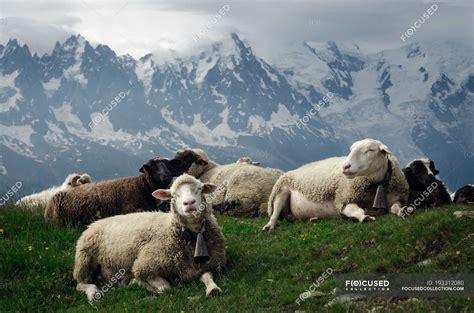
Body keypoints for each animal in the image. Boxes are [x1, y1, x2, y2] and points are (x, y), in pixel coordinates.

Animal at [73, 173, 225, 300]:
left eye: (199, 189)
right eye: (174, 194)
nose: (189, 203)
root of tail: (94, 223)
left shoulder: (205, 265)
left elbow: (207, 276)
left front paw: (213, 289)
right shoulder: (144, 266)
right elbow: (165, 288)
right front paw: (139, 283)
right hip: (84, 257)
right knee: (81, 284)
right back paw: (93, 293)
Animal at [262, 138, 410, 230]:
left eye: (370, 150)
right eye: (351, 150)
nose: (345, 167)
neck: (377, 184)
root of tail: (294, 169)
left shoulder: (397, 197)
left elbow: (395, 207)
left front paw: (403, 211)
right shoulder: (343, 199)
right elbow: (354, 210)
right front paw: (364, 217)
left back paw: (313, 218)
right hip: (281, 190)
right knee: (275, 211)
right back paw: (270, 226)